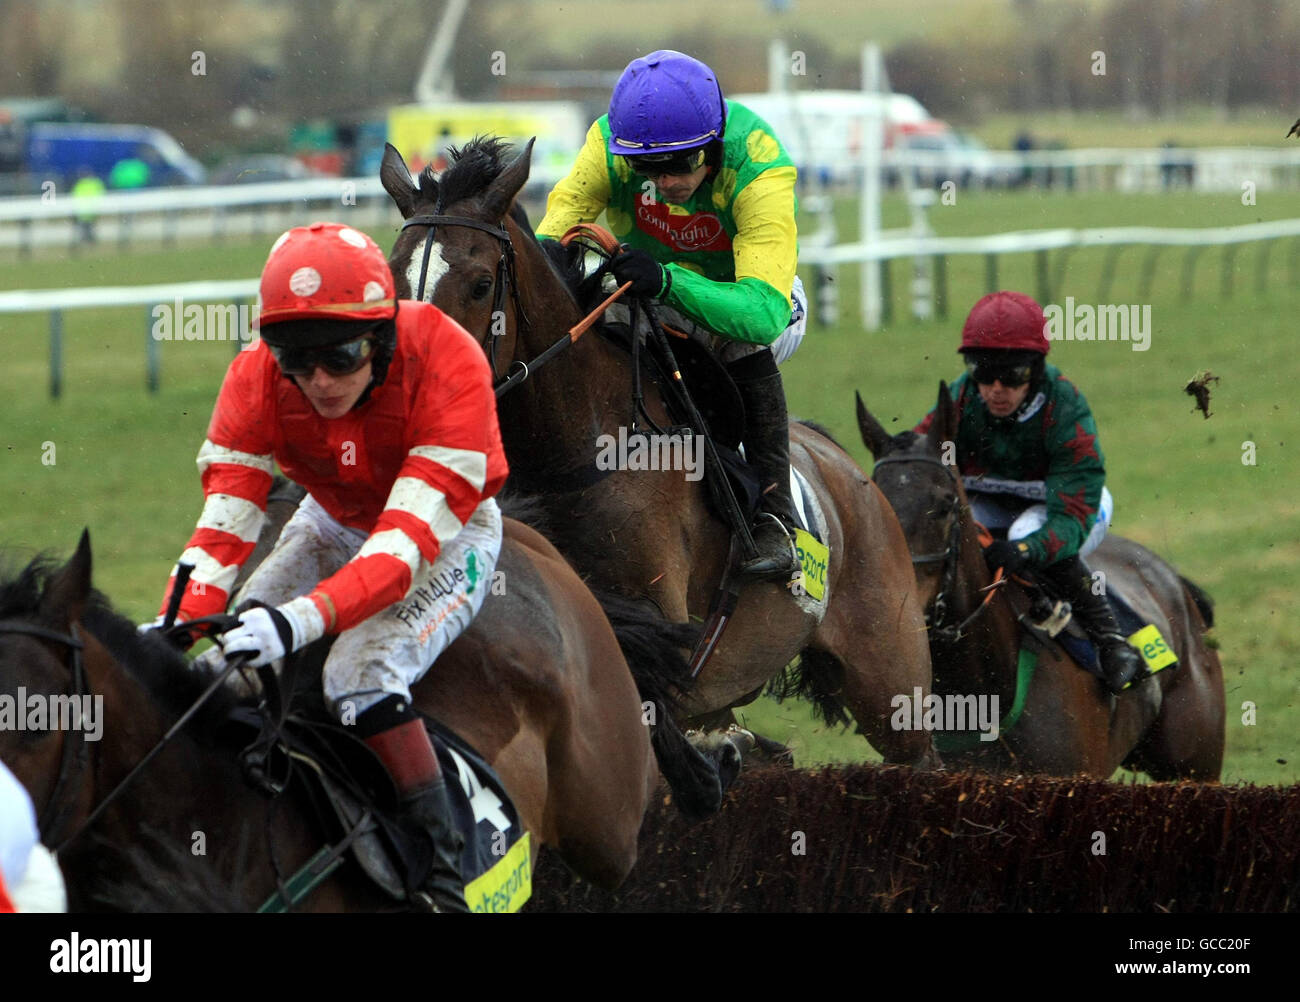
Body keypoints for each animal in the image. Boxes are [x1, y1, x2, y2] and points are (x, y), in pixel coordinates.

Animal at [379, 139, 941, 769]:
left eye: (479, 285)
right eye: (394, 280)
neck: (572, 456)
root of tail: (843, 464)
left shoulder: (657, 622)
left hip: (891, 678)